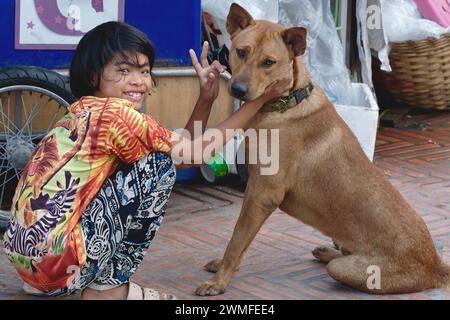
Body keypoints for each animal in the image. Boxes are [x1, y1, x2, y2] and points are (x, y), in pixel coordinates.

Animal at [194, 3, 450, 298]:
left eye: (268, 62)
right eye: (241, 52)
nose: (236, 89)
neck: (287, 101)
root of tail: (435, 265)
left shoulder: (263, 195)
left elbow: (236, 240)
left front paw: (219, 281)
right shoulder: (254, 189)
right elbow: (239, 240)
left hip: (349, 270)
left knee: (341, 265)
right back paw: (328, 250)